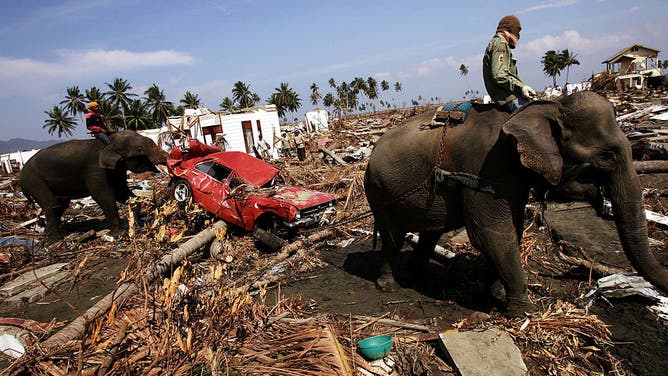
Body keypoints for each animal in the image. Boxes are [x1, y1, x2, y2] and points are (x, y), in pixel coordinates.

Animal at [20, 131, 170, 242]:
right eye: (139, 150)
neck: (109, 142)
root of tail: (20, 178)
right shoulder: (95, 170)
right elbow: (103, 196)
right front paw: (119, 234)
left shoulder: (117, 170)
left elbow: (122, 192)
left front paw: (137, 222)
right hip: (35, 182)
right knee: (52, 204)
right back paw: (56, 241)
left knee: (60, 205)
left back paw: (49, 234)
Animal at [366, 92, 668, 316]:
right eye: (606, 157)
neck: (541, 109)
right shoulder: (484, 170)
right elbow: (491, 234)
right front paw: (524, 312)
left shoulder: (510, 180)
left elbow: (513, 230)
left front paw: (494, 294)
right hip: (379, 192)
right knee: (393, 237)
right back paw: (388, 285)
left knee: (430, 234)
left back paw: (414, 277)